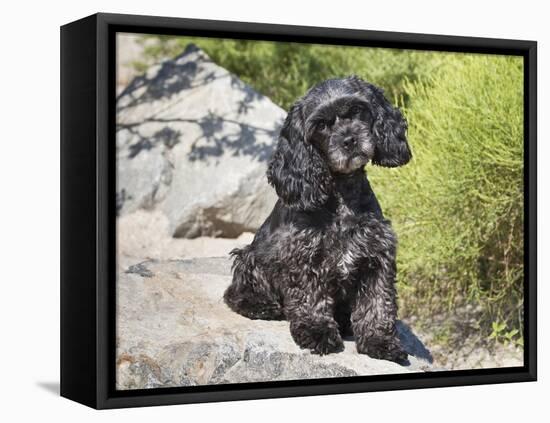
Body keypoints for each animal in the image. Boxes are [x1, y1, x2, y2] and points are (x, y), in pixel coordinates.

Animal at [224, 75, 414, 362]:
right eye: (321, 125)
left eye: (357, 111)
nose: (349, 140)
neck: (342, 197)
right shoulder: (303, 257)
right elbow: (310, 299)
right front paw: (318, 332)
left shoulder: (376, 258)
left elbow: (378, 303)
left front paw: (380, 341)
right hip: (250, 257)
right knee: (235, 293)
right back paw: (262, 306)